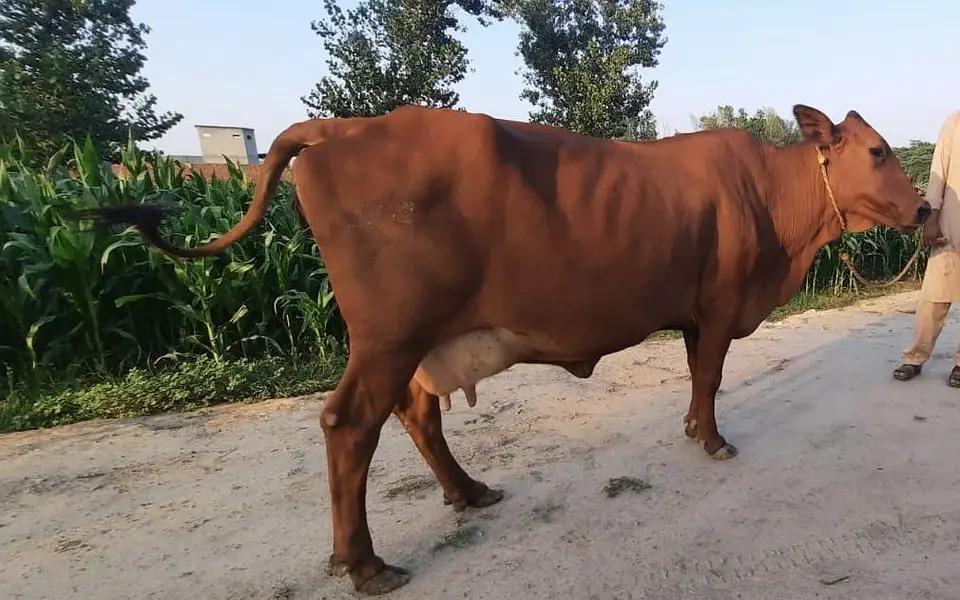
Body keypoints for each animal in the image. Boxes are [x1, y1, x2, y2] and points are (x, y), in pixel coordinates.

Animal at [82, 104, 930, 595]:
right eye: (878, 151)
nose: (926, 208)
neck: (773, 204)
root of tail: (342, 124)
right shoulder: (719, 305)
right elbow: (712, 377)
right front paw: (713, 440)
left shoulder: (697, 313)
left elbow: (698, 377)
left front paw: (695, 432)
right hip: (388, 335)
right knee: (350, 426)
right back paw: (365, 564)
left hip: (419, 339)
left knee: (416, 414)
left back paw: (468, 492)